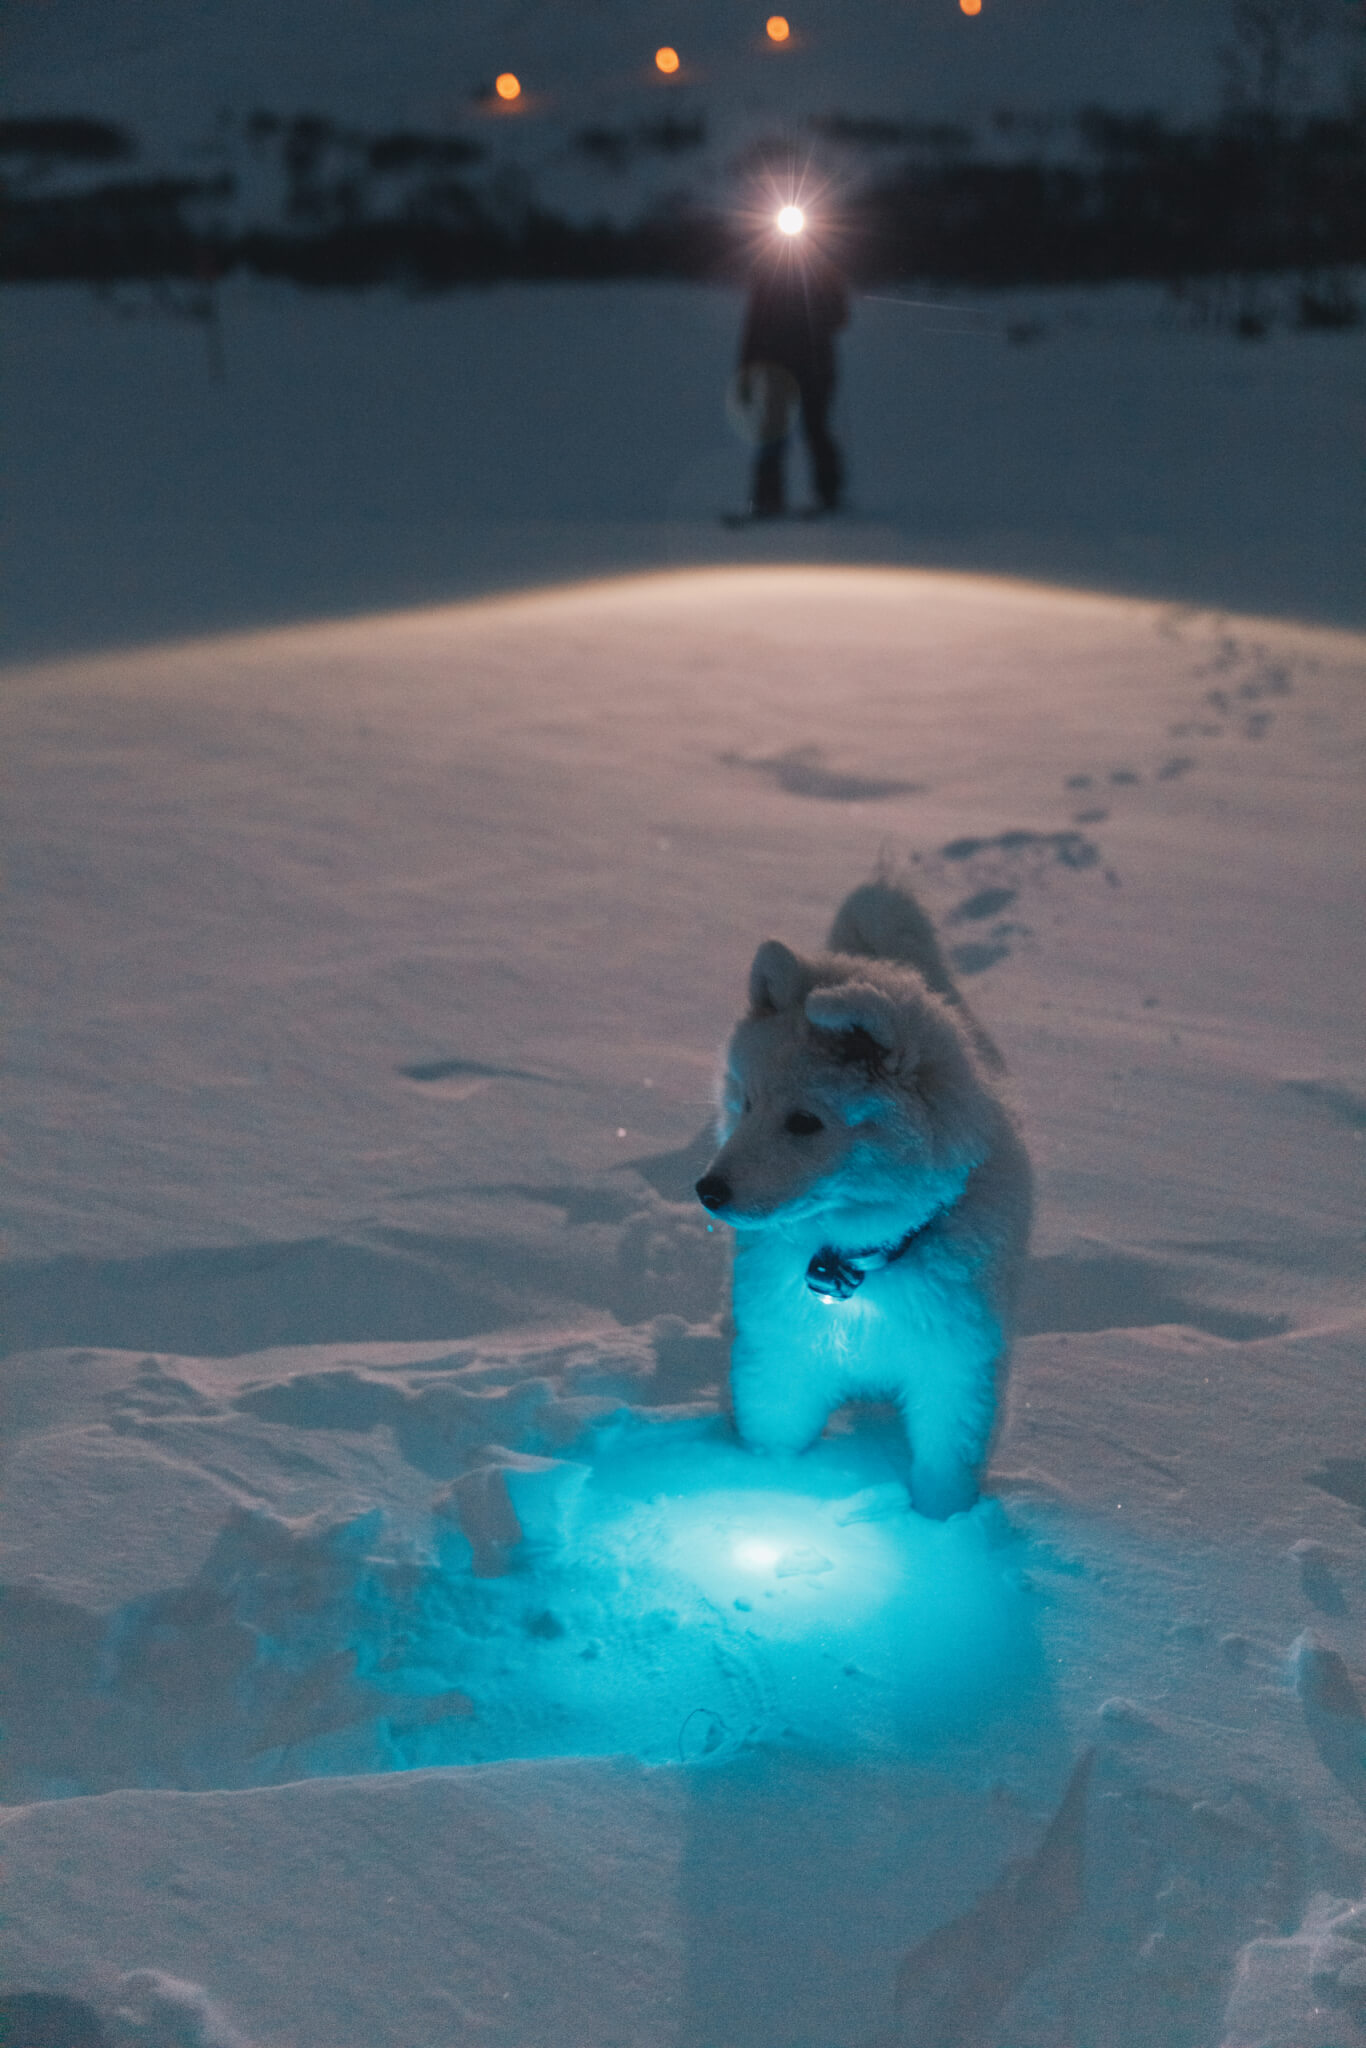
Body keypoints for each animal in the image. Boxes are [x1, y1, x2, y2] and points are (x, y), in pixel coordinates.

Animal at [700, 872, 1032, 1515]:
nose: (708, 1191)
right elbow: (772, 1440)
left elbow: (944, 1478)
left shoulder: (956, 1374)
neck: (859, 1264)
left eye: (806, 1122)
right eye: (747, 1104)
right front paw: (765, 1494)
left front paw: (943, 1534)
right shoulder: (784, 1360)